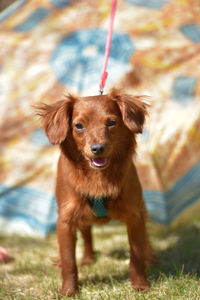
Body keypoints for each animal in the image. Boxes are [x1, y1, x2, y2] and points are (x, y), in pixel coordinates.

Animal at [37, 89, 152, 296]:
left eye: (111, 123)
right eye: (78, 126)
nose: (97, 148)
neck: (98, 178)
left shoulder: (136, 215)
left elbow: (137, 256)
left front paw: (140, 286)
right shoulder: (65, 220)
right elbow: (68, 261)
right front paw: (69, 291)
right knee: (86, 234)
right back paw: (88, 259)